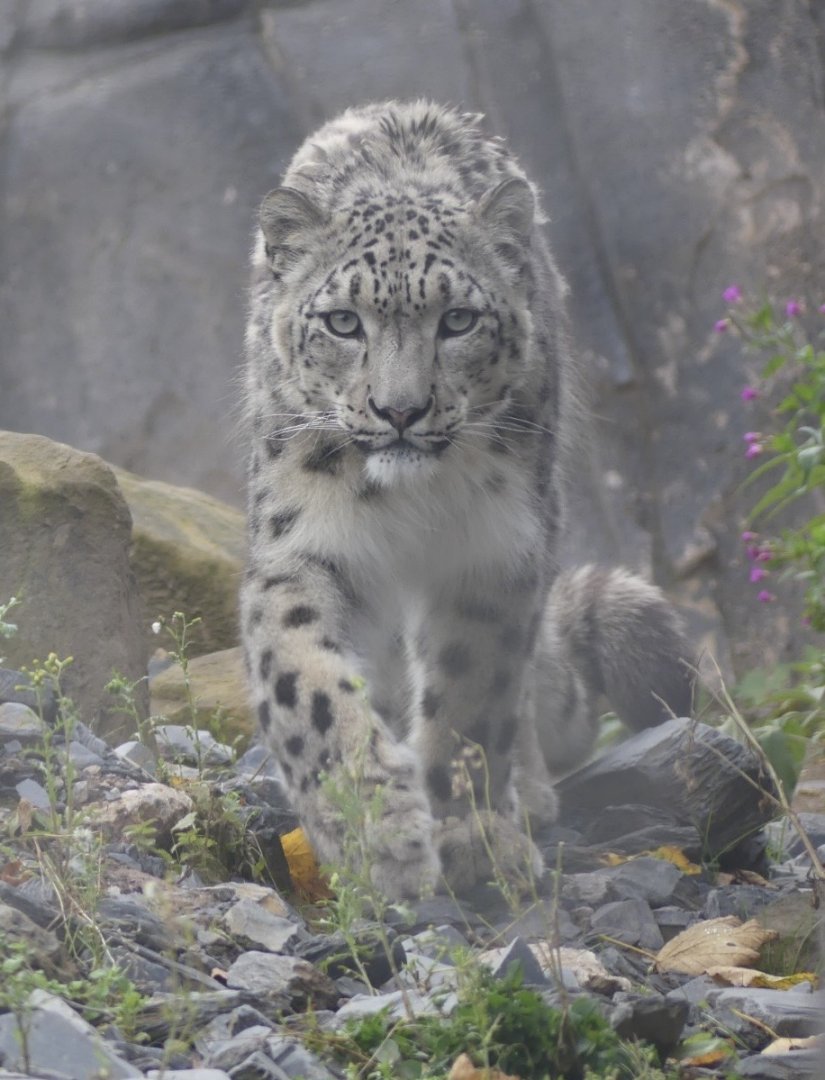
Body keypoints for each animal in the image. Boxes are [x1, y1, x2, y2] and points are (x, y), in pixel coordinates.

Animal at [240, 100, 693, 899]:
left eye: (457, 320)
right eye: (342, 321)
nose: (399, 410)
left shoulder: (494, 551)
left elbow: (472, 690)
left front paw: (467, 832)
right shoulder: (305, 544)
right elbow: (308, 681)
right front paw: (374, 832)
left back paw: (528, 796)